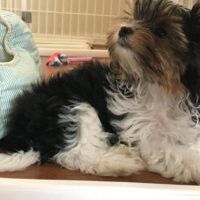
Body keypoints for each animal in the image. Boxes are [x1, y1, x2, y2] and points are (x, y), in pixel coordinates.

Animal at [0, 0, 200, 184]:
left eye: (162, 32)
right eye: (136, 18)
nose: (124, 29)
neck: (161, 88)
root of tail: (21, 127)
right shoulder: (142, 132)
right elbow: (168, 149)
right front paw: (195, 164)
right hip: (69, 105)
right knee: (76, 153)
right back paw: (119, 162)